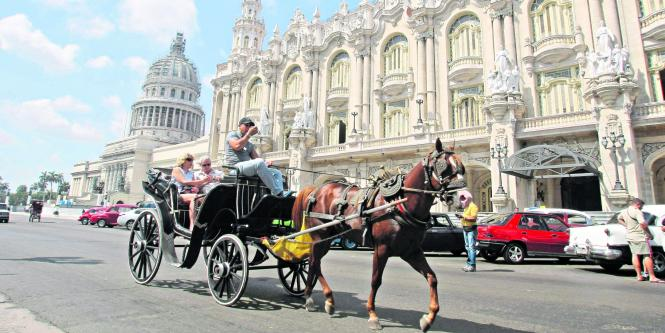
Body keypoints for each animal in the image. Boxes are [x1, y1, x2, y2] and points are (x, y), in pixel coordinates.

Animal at [290, 137, 462, 330]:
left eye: (462, 167)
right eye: (443, 166)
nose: (463, 197)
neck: (400, 203)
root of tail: (316, 189)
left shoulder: (411, 251)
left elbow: (432, 278)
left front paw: (429, 318)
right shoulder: (381, 249)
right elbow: (376, 280)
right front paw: (372, 315)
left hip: (326, 239)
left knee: (313, 262)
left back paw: (321, 299)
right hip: (321, 236)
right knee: (314, 262)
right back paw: (314, 298)